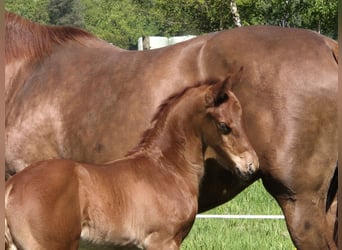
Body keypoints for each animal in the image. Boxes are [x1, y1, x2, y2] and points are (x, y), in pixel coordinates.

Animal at [5, 76, 258, 250]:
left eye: (242, 118)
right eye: (224, 126)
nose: (251, 165)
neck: (167, 168)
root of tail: (11, 187)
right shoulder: (162, 241)